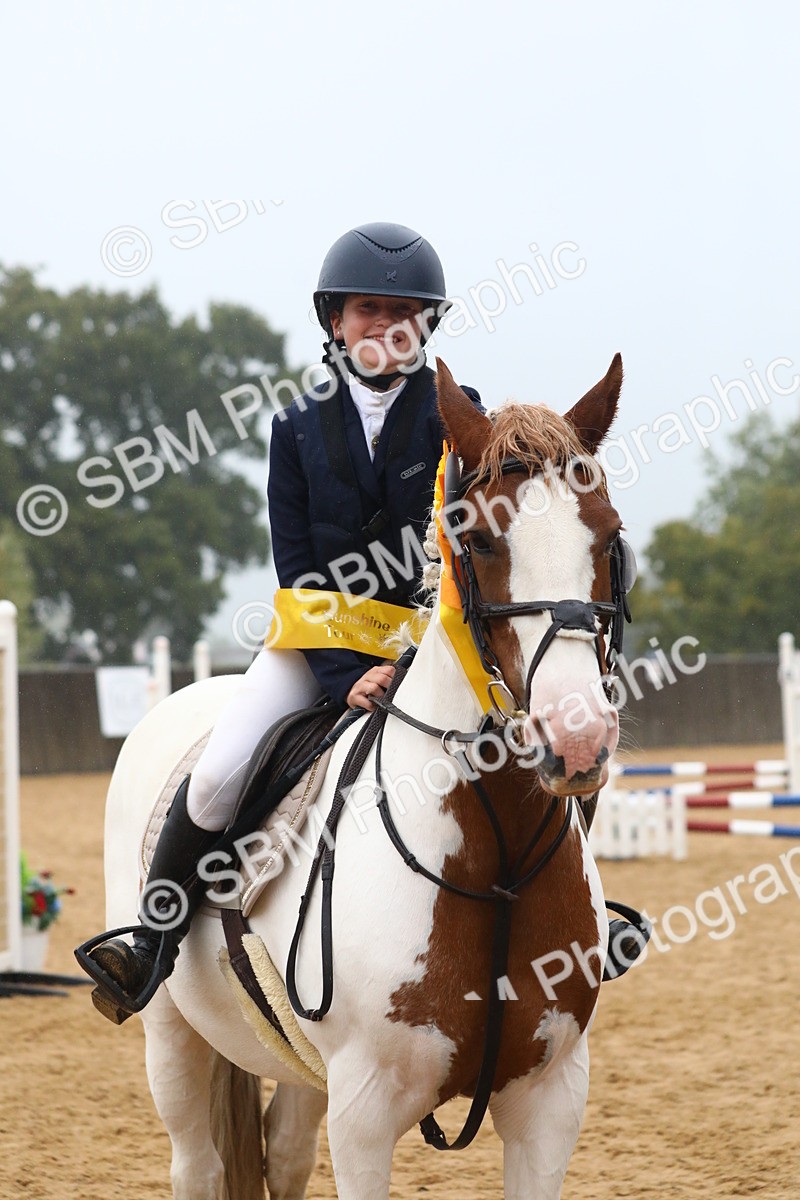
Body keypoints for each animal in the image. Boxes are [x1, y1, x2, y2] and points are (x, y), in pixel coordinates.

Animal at [94, 355, 627, 1200]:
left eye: (609, 538)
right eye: (477, 539)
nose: (576, 739)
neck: (496, 861)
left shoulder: (550, 1101)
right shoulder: (365, 1114)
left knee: (283, 1152)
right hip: (172, 1036)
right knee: (197, 1163)